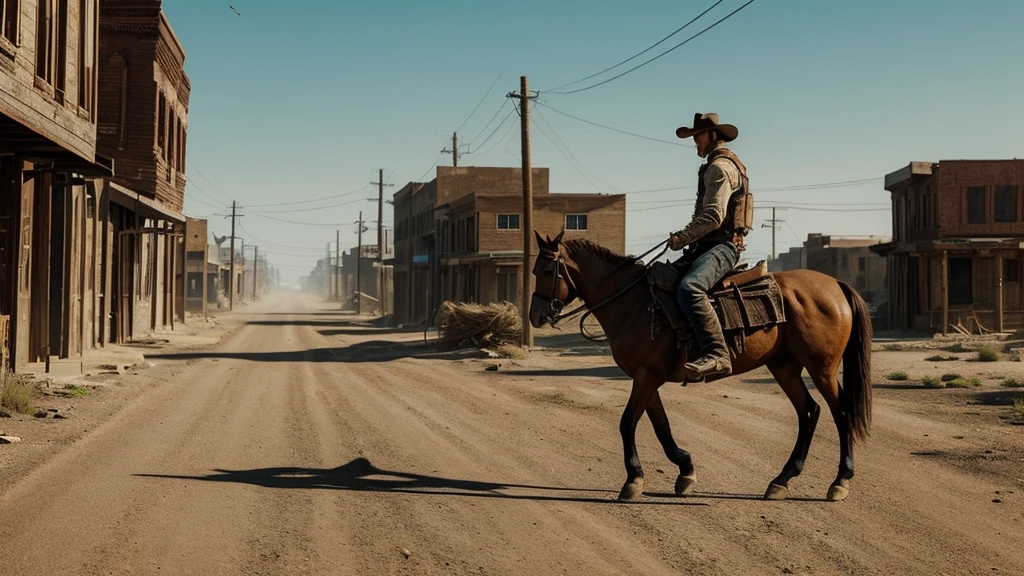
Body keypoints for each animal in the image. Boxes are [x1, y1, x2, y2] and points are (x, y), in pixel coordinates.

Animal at [528, 230, 872, 500]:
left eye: (545, 272)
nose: (535, 316)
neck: (633, 303)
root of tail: (836, 285)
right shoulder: (646, 376)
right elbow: (661, 425)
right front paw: (685, 470)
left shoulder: (646, 376)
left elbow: (628, 422)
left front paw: (633, 480)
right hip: (784, 367)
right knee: (809, 412)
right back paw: (781, 480)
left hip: (821, 368)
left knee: (840, 414)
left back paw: (839, 482)